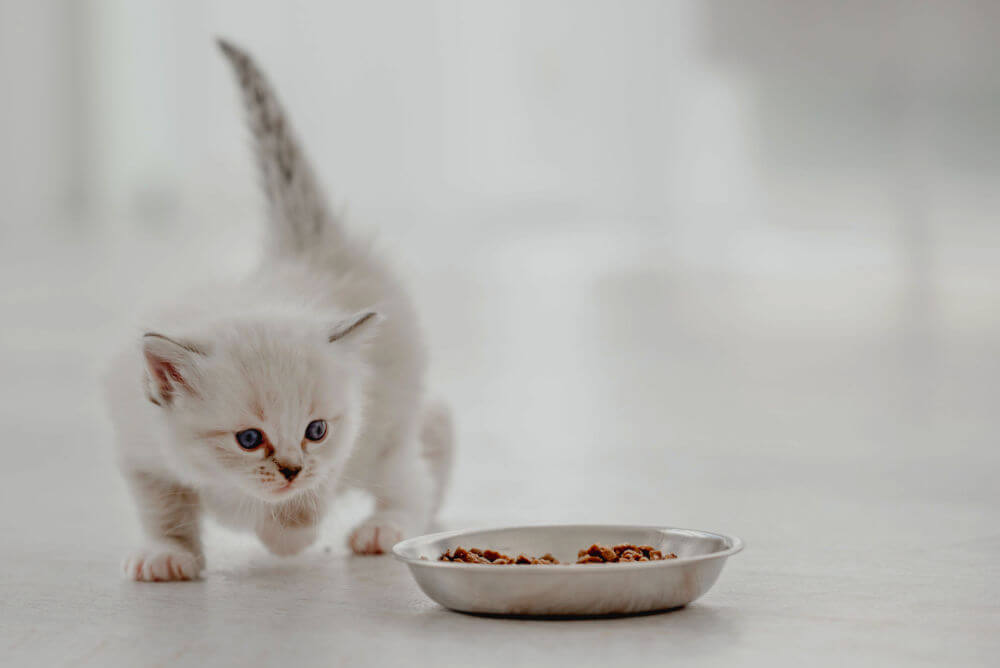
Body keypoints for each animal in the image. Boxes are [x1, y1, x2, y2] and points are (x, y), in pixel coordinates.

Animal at [102, 37, 454, 580]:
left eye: (316, 431)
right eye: (249, 438)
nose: (291, 468)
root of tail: (308, 243)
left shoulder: (350, 431)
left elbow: (314, 490)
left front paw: (289, 533)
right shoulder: (139, 446)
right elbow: (162, 507)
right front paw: (168, 553)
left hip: (388, 425)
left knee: (413, 468)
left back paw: (386, 527)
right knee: (435, 427)